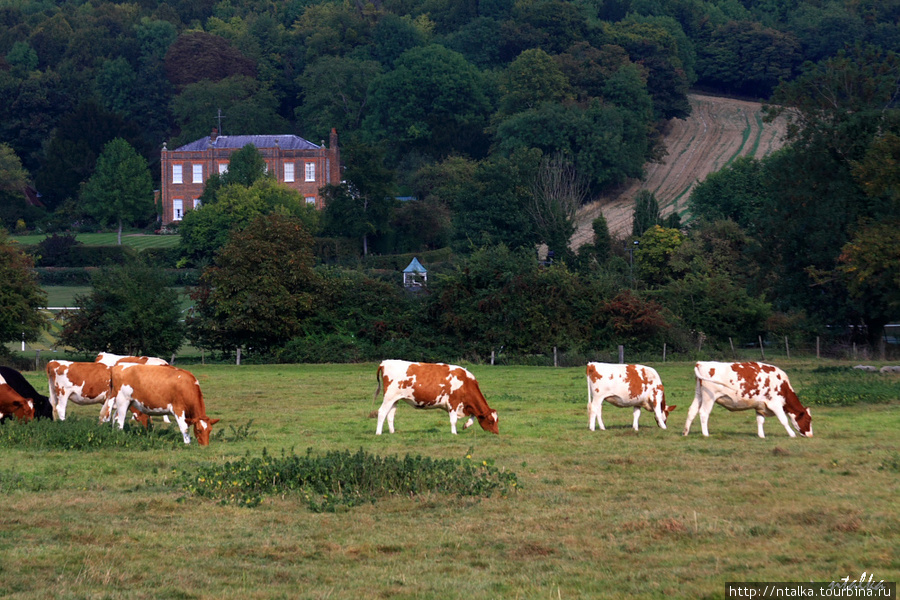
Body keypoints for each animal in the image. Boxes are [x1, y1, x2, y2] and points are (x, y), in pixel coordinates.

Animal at [372, 358, 500, 434]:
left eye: (497, 420)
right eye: (490, 421)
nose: (496, 433)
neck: (465, 382)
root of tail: (385, 362)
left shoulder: (466, 405)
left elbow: (474, 416)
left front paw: (466, 425)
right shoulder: (453, 402)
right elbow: (453, 420)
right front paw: (454, 433)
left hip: (395, 399)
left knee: (390, 415)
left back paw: (392, 432)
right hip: (388, 397)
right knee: (382, 412)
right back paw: (378, 433)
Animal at [684, 358, 812, 438]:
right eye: (808, 420)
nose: (810, 435)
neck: (782, 384)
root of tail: (701, 363)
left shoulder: (760, 405)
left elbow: (760, 420)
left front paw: (761, 435)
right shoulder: (775, 403)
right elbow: (784, 420)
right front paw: (792, 434)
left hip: (699, 395)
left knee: (692, 411)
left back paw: (685, 432)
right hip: (709, 397)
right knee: (704, 413)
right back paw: (706, 434)